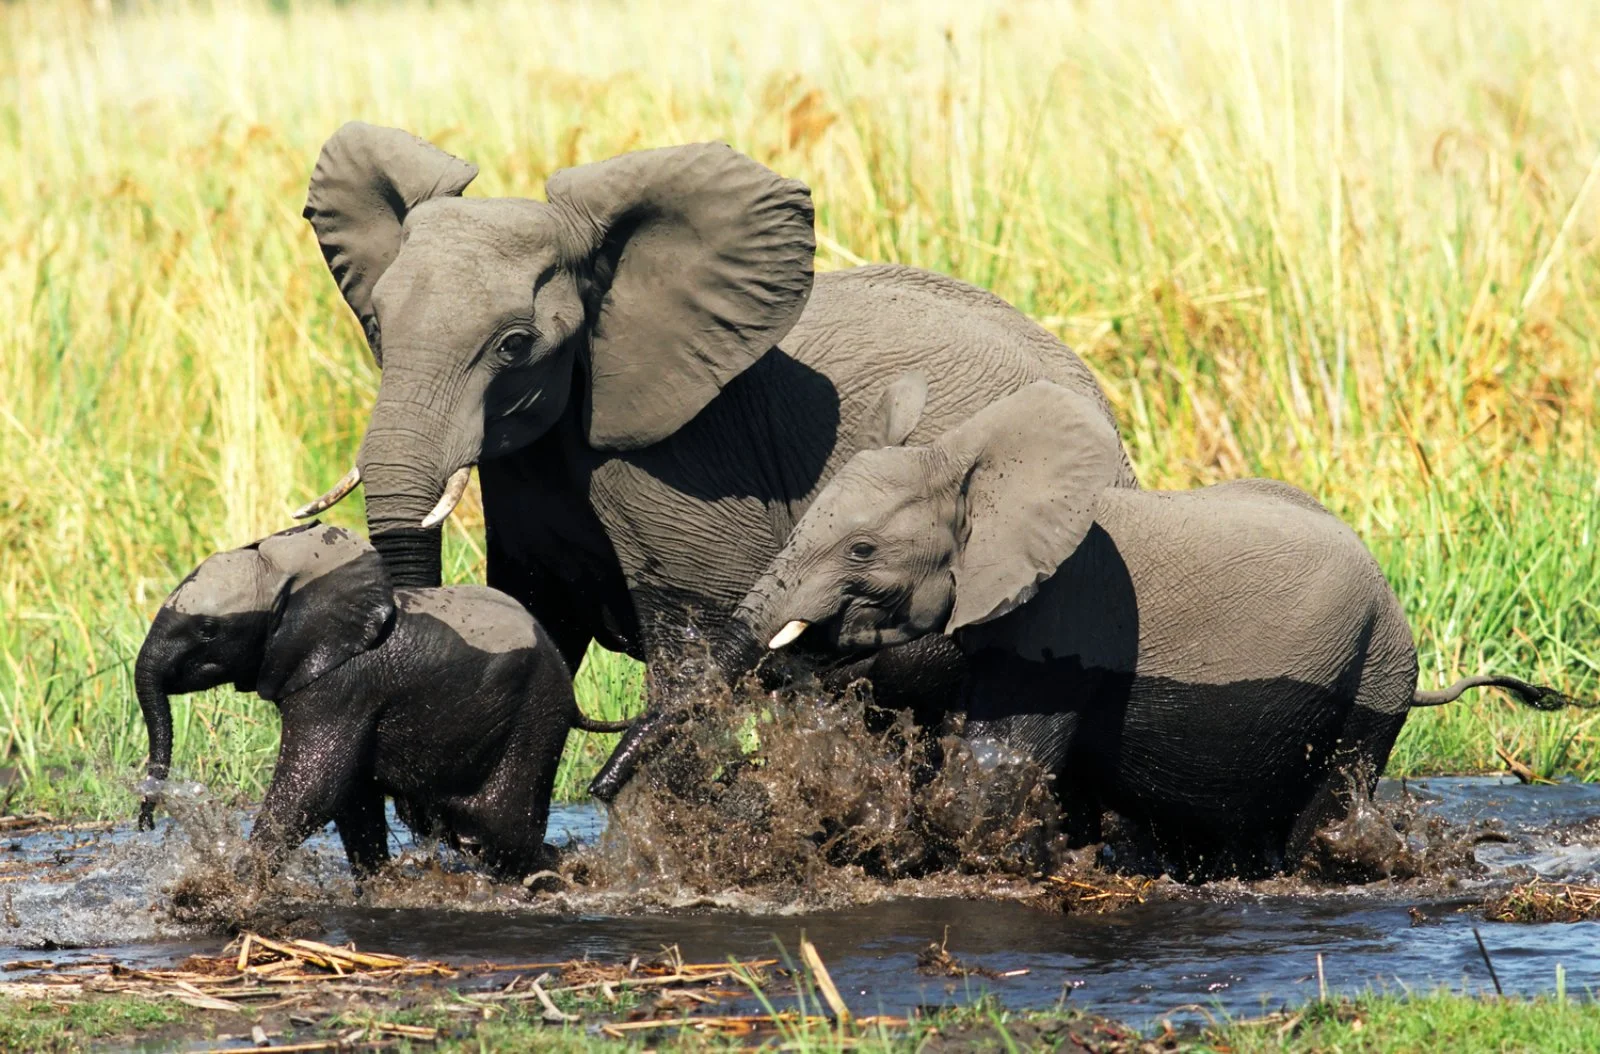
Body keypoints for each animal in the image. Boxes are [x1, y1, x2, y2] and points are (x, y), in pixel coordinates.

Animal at [134, 523, 624, 879]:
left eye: (207, 630)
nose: (145, 821)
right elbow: (352, 797)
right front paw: (379, 887)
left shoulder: (344, 683)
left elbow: (316, 785)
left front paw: (222, 888)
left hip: (534, 715)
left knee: (502, 832)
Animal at [738, 379, 1579, 879]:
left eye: (862, 550)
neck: (972, 465)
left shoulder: (1068, 619)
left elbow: (984, 781)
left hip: (1374, 671)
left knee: (1334, 812)